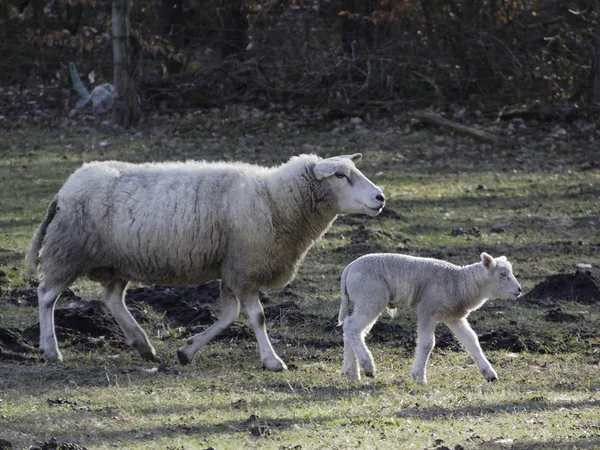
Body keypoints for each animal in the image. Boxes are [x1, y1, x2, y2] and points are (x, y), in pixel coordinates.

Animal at [27, 153, 384, 370]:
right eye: (341, 175)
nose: (380, 197)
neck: (275, 199)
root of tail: (66, 187)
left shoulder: (232, 268)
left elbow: (228, 316)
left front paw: (187, 351)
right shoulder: (244, 267)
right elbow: (257, 317)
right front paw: (272, 360)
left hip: (115, 261)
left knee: (112, 299)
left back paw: (143, 345)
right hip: (69, 251)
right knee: (46, 296)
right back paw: (50, 350)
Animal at [338, 251, 520, 382]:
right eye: (503, 274)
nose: (519, 290)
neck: (459, 283)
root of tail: (349, 268)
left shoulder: (454, 317)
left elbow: (472, 341)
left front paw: (489, 374)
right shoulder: (428, 310)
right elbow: (427, 343)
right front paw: (419, 377)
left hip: (366, 299)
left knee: (352, 330)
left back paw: (352, 373)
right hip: (370, 297)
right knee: (352, 327)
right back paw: (368, 366)